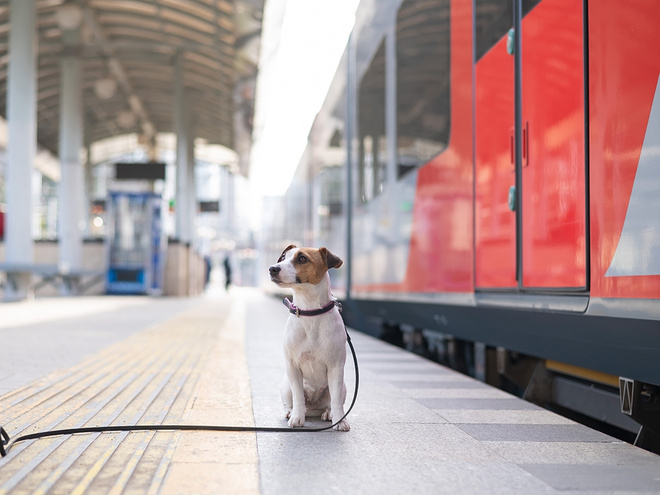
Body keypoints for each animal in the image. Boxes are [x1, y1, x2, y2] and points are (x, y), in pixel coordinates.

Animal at [268, 246, 350, 432]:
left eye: (302, 259)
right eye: (283, 258)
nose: (272, 268)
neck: (310, 311)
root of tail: (313, 407)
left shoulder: (336, 367)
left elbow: (336, 400)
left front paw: (340, 421)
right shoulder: (292, 366)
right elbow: (298, 396)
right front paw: (297, 418)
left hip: (343, 386)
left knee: (331, 401)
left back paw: (329, 413)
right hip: (286, 385)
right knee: (292, 401)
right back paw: (291, 412)